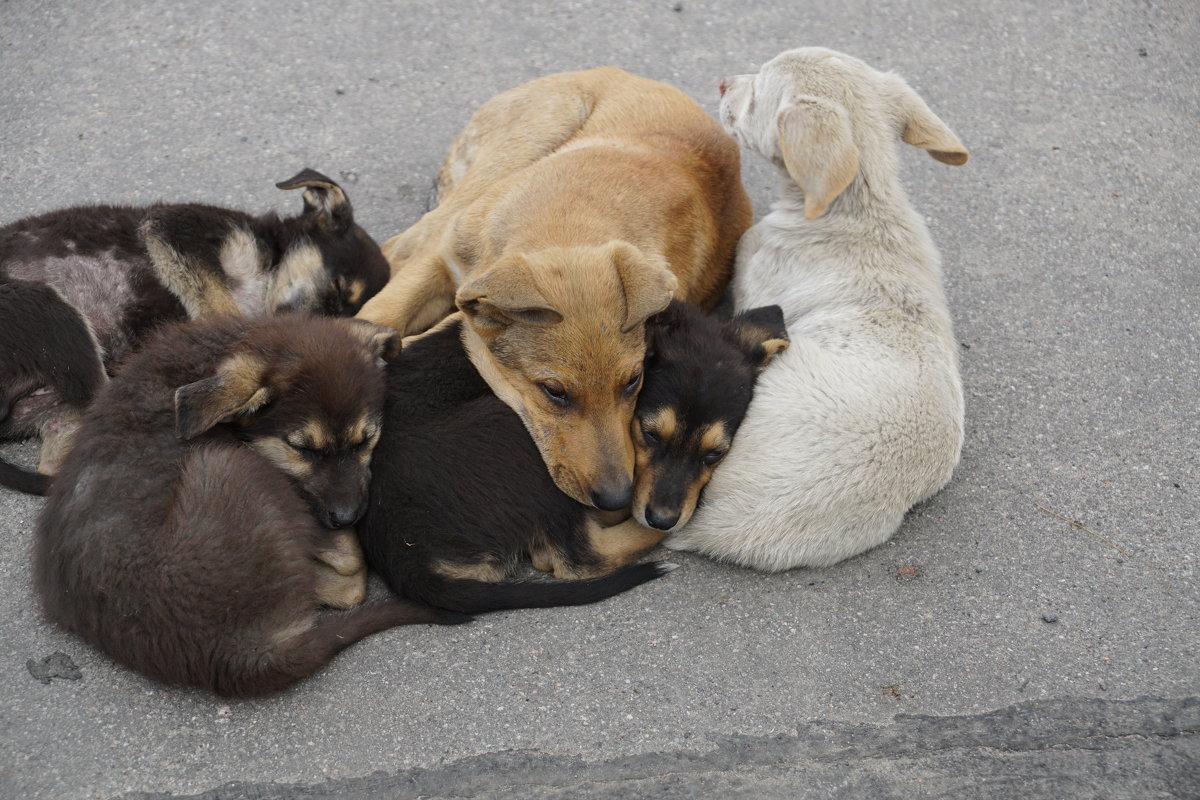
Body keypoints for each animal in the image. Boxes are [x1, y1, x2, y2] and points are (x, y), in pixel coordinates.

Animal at [0, 167, 386, 489]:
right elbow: (222, 305)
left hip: (55, 405)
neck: (264, 273)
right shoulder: (176, 228)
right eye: (337, 291)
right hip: (53, 309)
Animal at [32, 311, 463, 700]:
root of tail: (235, 656)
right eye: (303, 449)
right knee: (348, 580)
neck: (224, 347)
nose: (346, 518)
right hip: (228, 464)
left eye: (365, 440)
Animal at [355, 67, 748, 513]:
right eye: (554, 392)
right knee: (398, 247)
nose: (616, 501)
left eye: (633, 381)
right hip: (533, 134)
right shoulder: (442, 259)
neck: (568, 220)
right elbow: (377, 315)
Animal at [355, 299, 787, 614]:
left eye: (715, 454)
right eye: (649, 434)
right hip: (513, 427)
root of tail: (405, 555)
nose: (663, 518)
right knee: (578, 558)